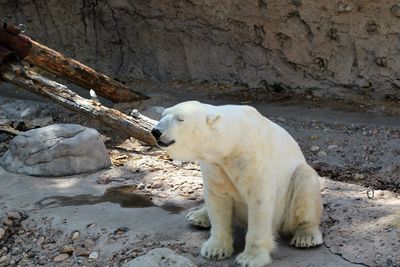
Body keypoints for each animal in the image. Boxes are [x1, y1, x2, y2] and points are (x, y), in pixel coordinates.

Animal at [152, 101, 324, 266]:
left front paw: (249, 258)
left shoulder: (250, 158)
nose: (156, 131)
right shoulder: (215, 165)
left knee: (305, 183)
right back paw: (197, 216)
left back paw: (306, 237)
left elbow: (259, 200)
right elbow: (217, 198)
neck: (231, 143)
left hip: (293, 190)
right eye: (163, 114)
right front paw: (215, 250)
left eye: (180, 119)